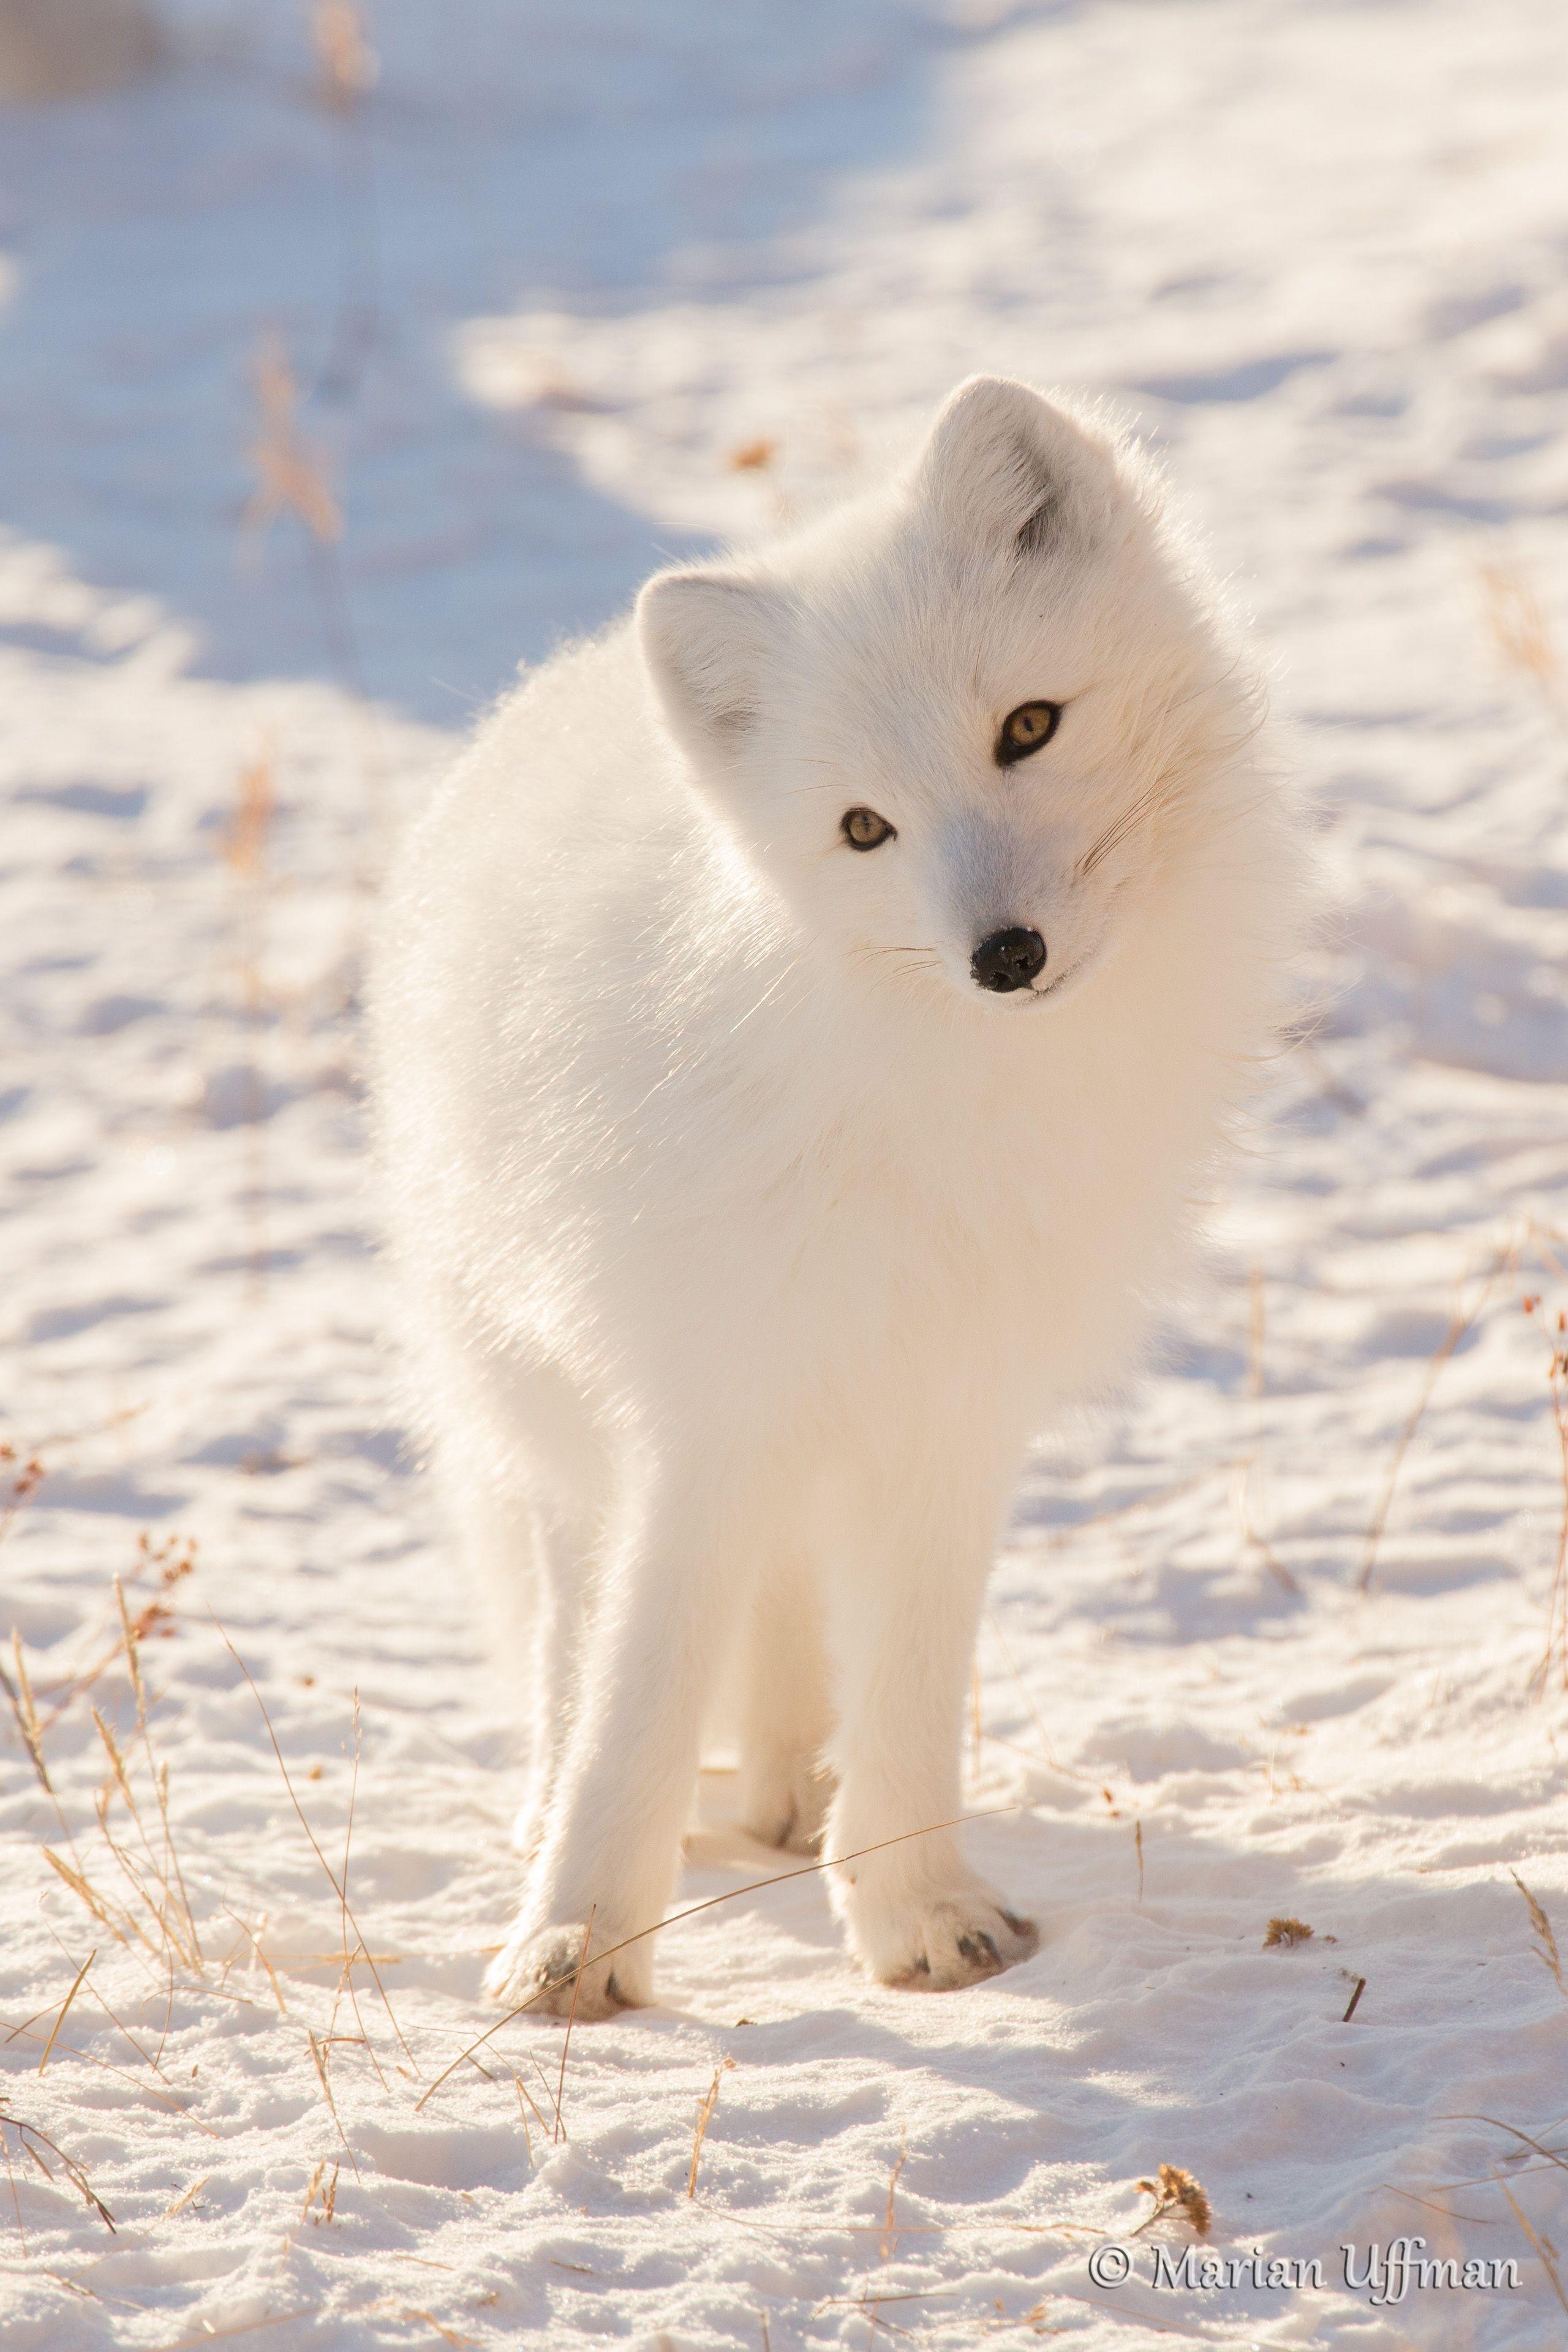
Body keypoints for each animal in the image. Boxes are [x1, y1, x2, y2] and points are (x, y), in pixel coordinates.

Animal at [374, 371, 1306, 2022]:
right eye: (863, 827)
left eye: (1026, 727)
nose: (1003, 954)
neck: (942, 1094)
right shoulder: (707, 1400)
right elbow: (637, 1681)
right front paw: (573, 1941)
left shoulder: (949, 1403)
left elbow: (912, 1686)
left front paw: (917, 1909)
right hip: (558, 1405)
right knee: (572, 1638)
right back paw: (581, 1812)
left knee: (793, 1632)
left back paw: (789, 1800)